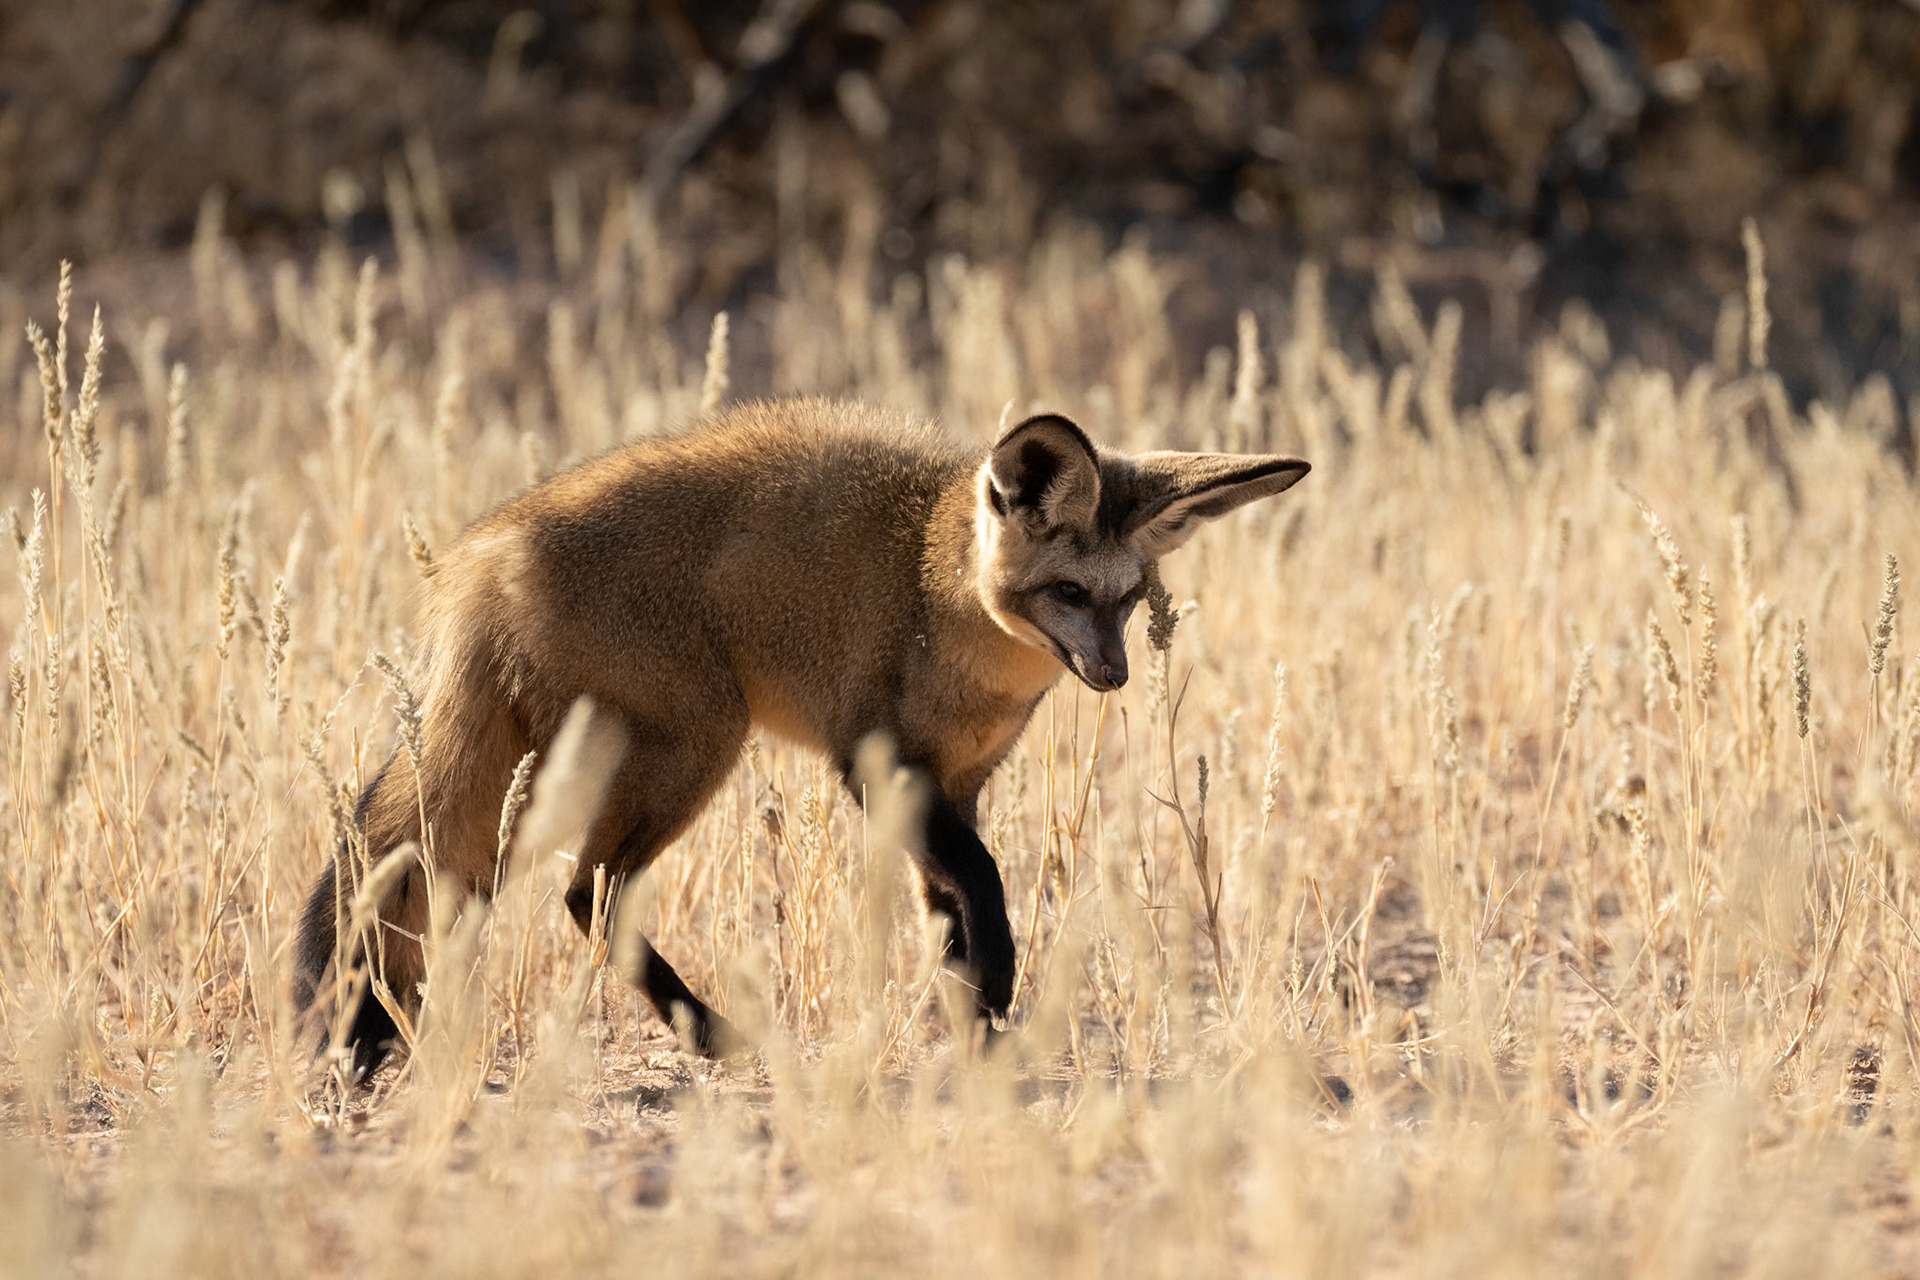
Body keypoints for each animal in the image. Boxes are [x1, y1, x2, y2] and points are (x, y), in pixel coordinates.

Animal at [293, 398, 1309, 1079]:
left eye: (1127, 600)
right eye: (1066, 593)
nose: (1113, 676)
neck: (941, 601)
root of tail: (483, 553)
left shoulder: (958, 781)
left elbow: (950, 915)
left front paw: (978, 1031)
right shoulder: (877, 764)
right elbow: (983, 884)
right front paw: (997, 991)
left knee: (545, 888)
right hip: (692, 745)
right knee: (589, 892)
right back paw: (710, 1034)